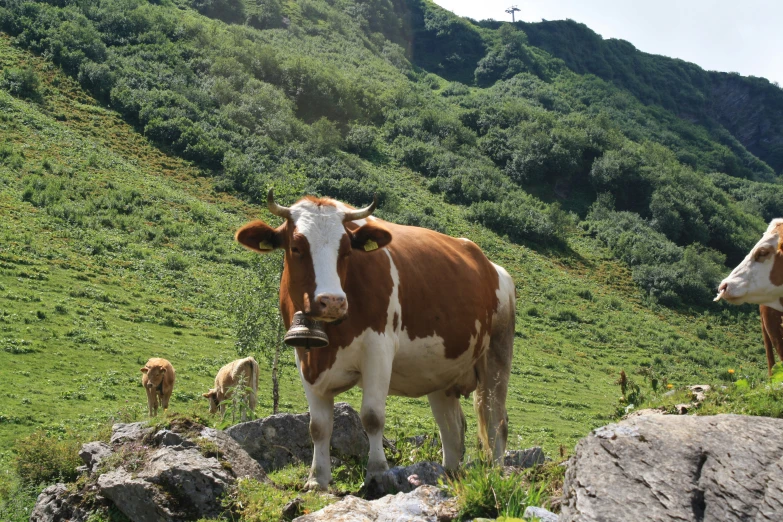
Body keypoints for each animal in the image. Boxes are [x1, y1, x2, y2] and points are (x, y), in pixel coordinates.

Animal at [234, 190, 516, 488]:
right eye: (296, 248)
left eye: (346, 250)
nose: (332, 301)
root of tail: (491, 266)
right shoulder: (305, 358)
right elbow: (318, 427)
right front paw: (317, 479)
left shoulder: (378, 350)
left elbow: (372, 417)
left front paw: (377, 472)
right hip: (442, 374)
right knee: (452, 429)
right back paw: (448, 476)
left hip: (496, 356)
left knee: (496, 420)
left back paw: (496, 475)